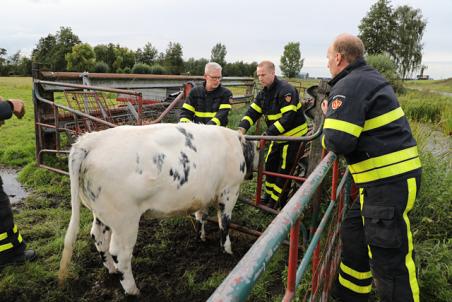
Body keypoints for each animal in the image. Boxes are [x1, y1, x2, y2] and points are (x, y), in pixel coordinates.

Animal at [58, 122, 258, 294]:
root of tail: (90, 140)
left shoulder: (203, 194)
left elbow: (201, 215)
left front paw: (201, 237)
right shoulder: (230, 190)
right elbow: (224, 223)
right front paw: (228, 251)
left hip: (102, 213)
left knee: (98, 237)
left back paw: (112, 270)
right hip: (125, 220)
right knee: (120, 253)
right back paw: (133, 290)